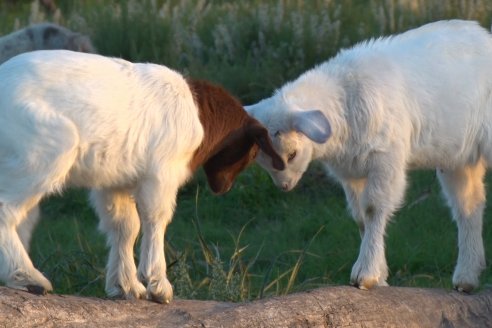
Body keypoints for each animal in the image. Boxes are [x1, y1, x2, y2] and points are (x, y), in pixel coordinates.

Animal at [0, 50, 282, 304]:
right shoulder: (161, 173)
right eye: (253, 151)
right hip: (44, 151)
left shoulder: (114, 181)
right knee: (6, 209)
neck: (198, 115)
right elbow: (156, 218)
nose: (222, 188)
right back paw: (28, 277)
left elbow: (125, 226)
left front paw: (126, 286)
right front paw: (158, 285)